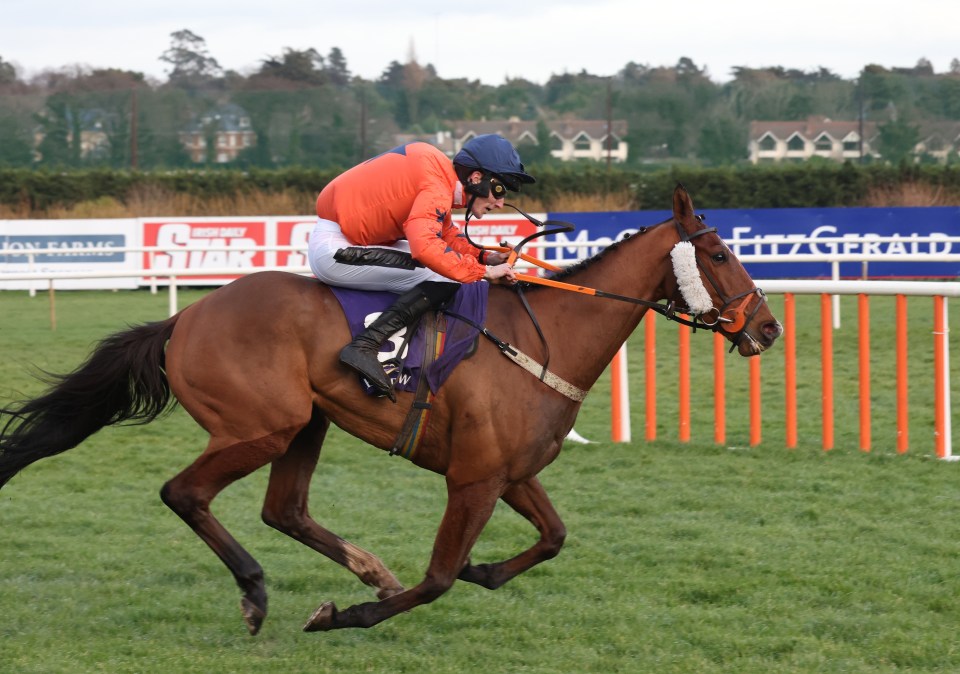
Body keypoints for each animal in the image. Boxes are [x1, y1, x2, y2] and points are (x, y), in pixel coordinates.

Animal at [0, 182, 780, 632]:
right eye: (717, 254)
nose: (768, 329)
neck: (546, 339)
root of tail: (184, 318)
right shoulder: (473, 479)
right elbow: (436, 580)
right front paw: (346, 615)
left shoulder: (509, 471)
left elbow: (554, 537)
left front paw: (482, 572)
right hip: (262, 425)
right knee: (183, 492)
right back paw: (257, 592)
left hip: (305, 422)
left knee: (284, 509)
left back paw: (364, 568)